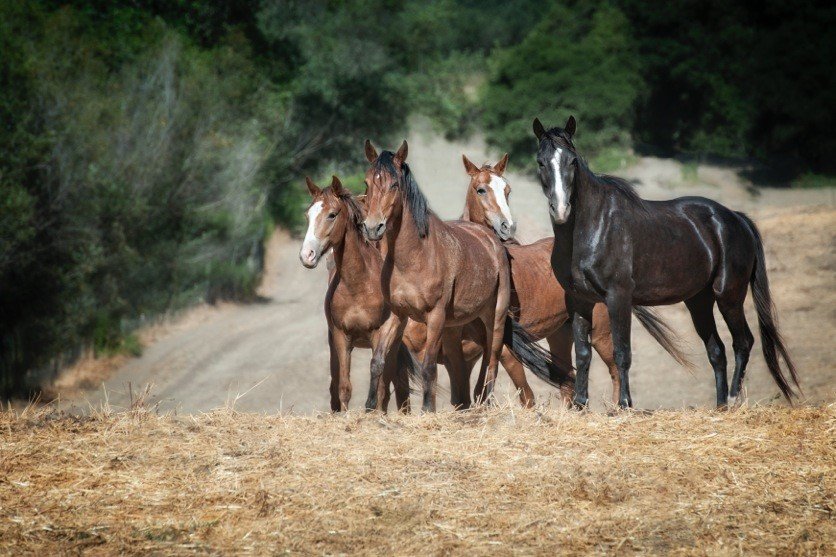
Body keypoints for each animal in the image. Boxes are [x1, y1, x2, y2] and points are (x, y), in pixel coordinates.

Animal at [300, 176, 418, 410]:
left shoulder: (382, 333)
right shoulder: (340, 336)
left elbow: (377, 373)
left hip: (394, 346)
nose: (307, 255)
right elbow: (344, 387)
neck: (358, 285)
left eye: (332, 214)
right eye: (308, 215)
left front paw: (370, 407)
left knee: (388, 385)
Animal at [360, 139, 568, 410]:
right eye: (367, 183)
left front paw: (428, 410)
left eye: (395, 184)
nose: (373, 227)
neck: (413, 256)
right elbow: (378, 361)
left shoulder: (437, 318)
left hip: (500, 320)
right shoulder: (399, 314)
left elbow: (430, 369)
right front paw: (369, 408)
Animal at [532, 114, 800, 408]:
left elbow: (622, 352)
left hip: (729, 295)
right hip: (699, 301)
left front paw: (624, 404)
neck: (594, 227)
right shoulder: (579, 300)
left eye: (572, 161)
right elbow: (582, 353)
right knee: (717, 350)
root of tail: (736, 218)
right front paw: (581, 404)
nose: (561, 210)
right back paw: (720, 405)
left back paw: (732, 398)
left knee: (743, 342)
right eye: (541, 162)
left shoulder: (618, 297)